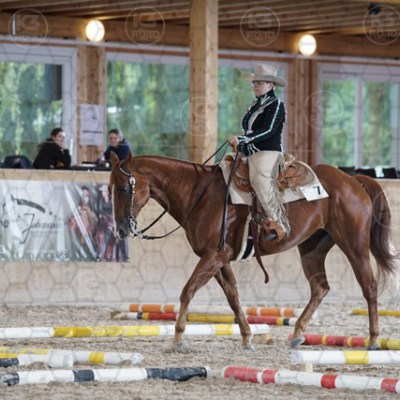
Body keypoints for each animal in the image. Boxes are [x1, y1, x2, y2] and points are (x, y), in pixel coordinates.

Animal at [109, 151, 399, 351]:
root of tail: (353, 180)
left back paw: (373, 339)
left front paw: (178, 337)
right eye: (111, 188)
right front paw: (247, 338)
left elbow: (187, 290)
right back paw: (297, 334)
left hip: (354, 246)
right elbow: (233, 297)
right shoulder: (220, 259)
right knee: (320, 288)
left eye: (123, 188)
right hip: (312, 249)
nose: (121, 229)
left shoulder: (213, 256)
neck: (198, 194)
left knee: (369, 287)